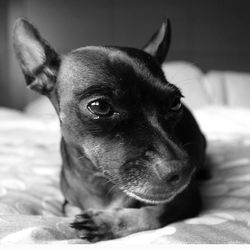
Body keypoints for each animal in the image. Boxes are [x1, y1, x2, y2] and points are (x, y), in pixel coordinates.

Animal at [12, 18, 206, 242]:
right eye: (100, 106)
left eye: (175, 103)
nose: (183, 171)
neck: (97, 179)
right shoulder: (67, 202)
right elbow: (72, 210)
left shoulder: (186, 199)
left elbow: (153, 212)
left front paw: (105, 222)